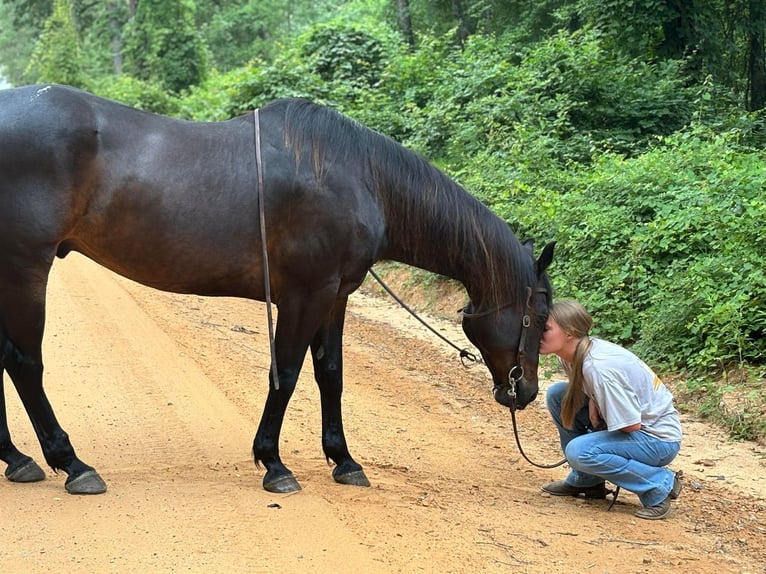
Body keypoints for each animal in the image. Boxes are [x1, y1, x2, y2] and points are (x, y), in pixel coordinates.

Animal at [0, 84, 556, 496]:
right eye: (540, 317)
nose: (526, 390)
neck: (360, 178)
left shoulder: (335, 295)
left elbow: (330, 375)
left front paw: (343, 460)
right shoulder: (305, 294)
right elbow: (285, 374)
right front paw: (273, 463)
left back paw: (18, 459)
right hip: (25, 266)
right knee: (24, 362)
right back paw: (71, 463)